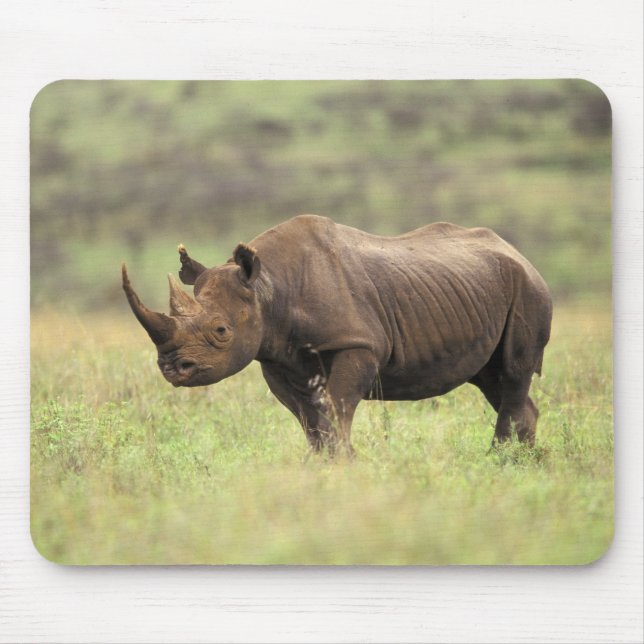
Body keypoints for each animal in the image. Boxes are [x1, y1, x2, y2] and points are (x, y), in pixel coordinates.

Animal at [123, 214, 552, 454]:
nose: (172, 369)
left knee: (514, 372)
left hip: (529, 289)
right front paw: (322, 465)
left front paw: (344, 464)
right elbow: (308, 419)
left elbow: (336, 407)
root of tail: (522, 255)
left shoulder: (357, 343)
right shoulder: (275, 356)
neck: (268, 287)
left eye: (221, 330)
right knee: (492, 379)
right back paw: (525, 465)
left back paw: (499, 462)